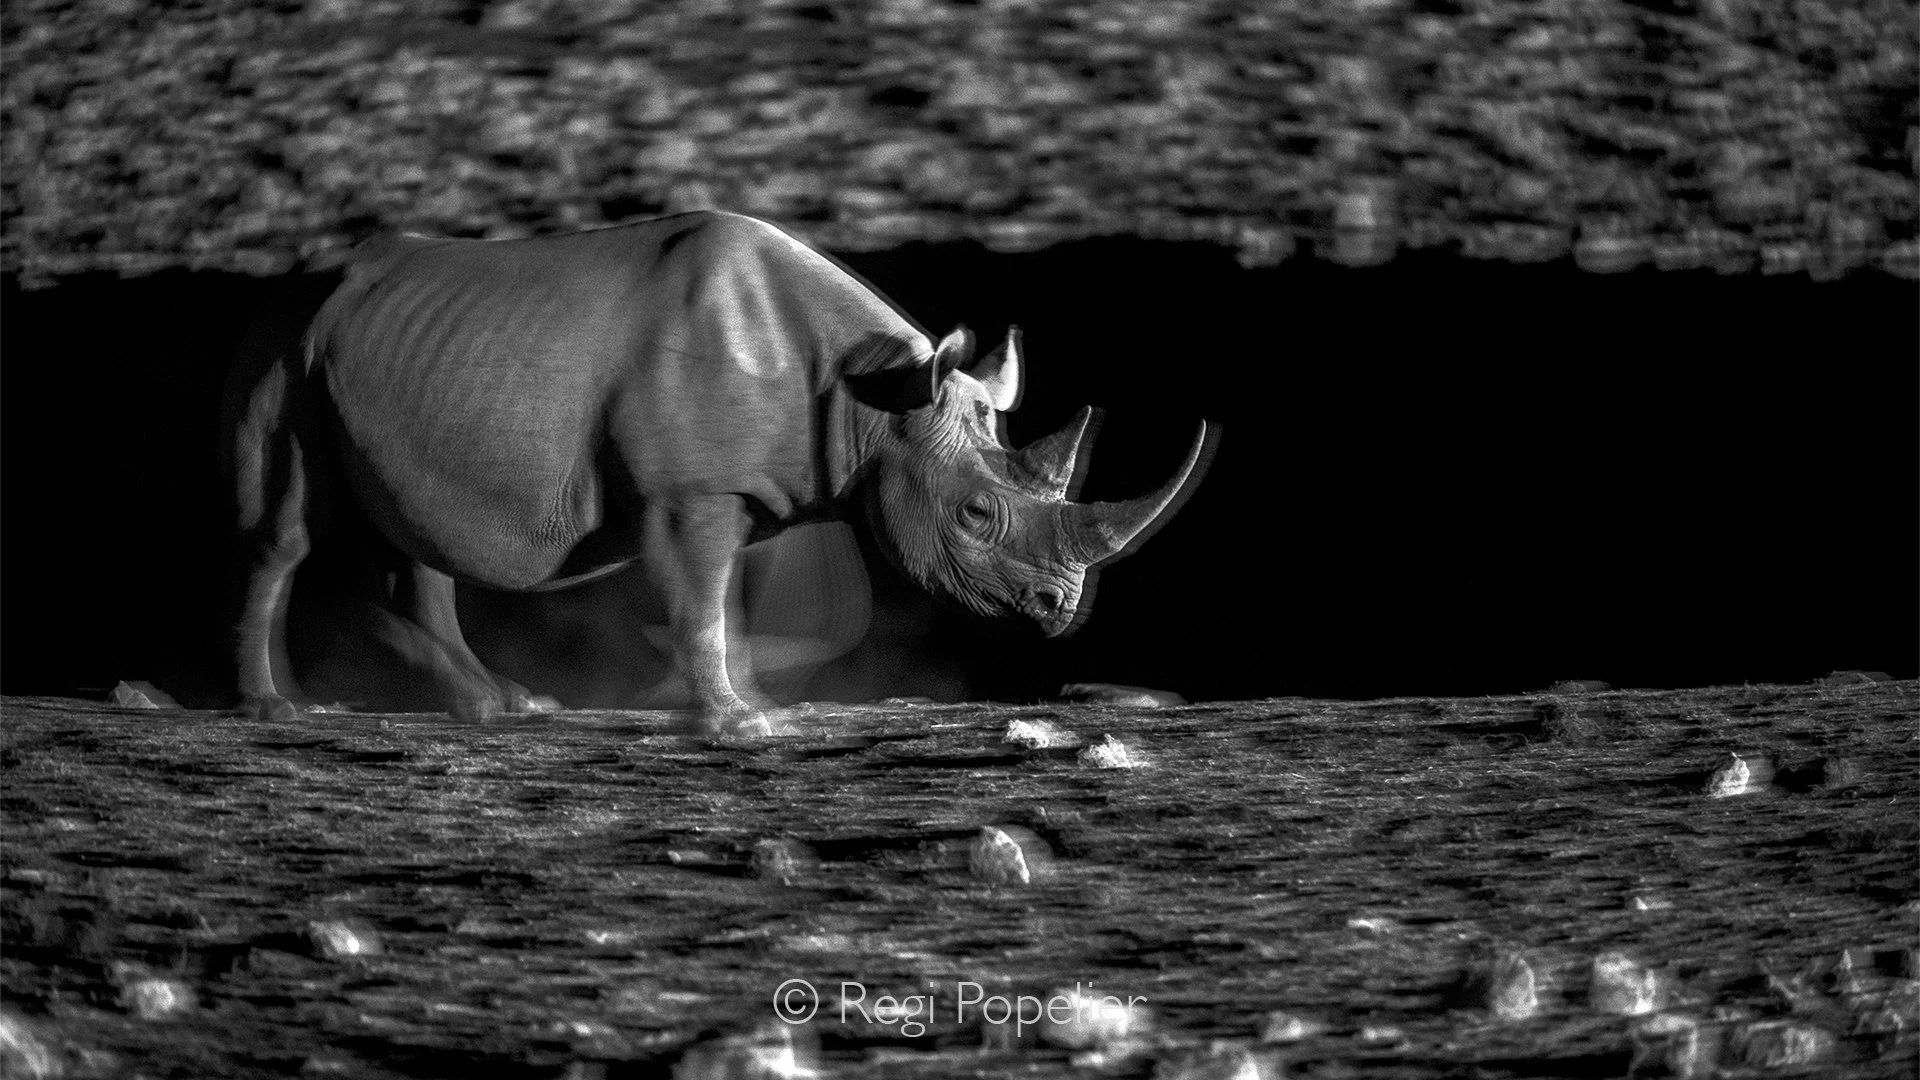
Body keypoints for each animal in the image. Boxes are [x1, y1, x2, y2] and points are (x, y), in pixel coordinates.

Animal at [228, 210, 1208, 733]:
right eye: (974, 516)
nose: (1061, 609)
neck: (875, 404)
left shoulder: (748, 490)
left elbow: (726, 603)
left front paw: (757, 705)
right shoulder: (689, 493)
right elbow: (698, 598)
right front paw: (741, 726)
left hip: (386, 363)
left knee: (415, 535)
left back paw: (507, 705)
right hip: (292, 355)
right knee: (287, 529)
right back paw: (283, 711)